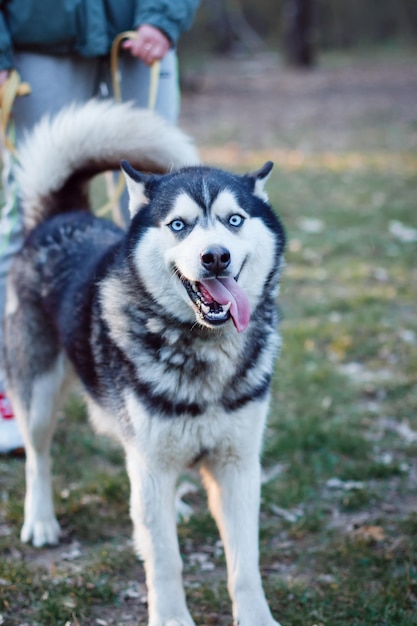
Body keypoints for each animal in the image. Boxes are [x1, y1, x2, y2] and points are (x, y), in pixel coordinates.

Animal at [3, 100, 284, 620]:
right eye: (179, 225)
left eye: (234, 220)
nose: (216, 256)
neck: (201, 350)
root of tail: (59, 216)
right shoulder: (150, 461)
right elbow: (165, 559)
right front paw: (171, 618)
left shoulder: (238, 465)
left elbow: (245, 564)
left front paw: (257, 618)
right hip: (39, 394)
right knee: (38, 456)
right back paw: (41, 520)